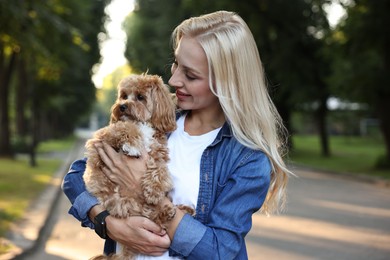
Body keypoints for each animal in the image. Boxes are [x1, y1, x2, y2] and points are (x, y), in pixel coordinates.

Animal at [83, 73, 193, 260]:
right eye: (123, 96)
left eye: (140, 97)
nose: (122, 106)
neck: (143, 124)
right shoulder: (103, 136)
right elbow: (125, 127)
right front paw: (132, 145)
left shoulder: (158, 151)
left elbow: (159, 169)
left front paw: (154, 190)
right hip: (123, 204)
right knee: (151, 217)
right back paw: (169, 213)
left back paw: (180, 210)